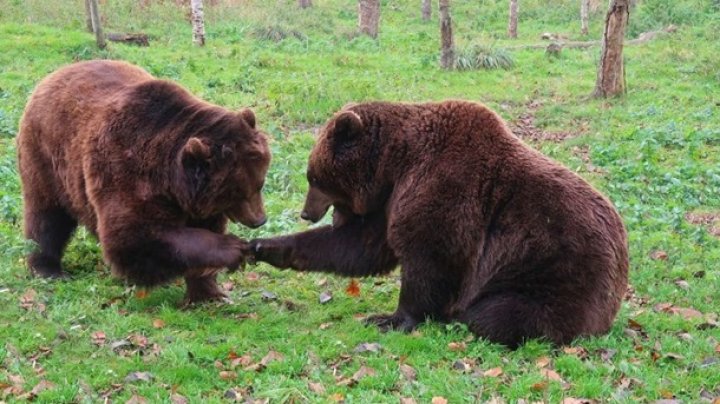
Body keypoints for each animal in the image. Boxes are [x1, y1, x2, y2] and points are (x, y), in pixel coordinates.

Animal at [16, 58, 270, 302]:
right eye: (238, 192)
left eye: (260, 184)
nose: (260, 220)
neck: (171, 181)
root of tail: (54, 75)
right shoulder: (127, 171)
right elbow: (135, 237)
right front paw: (232, 248)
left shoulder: (196, 202)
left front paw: (209, 293)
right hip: (47, 158)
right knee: (47, 216)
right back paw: (48, 268)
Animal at [253, 100, 632, 348]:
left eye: (313, 177)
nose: (306, 213)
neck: (395, 163)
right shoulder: (391, 201)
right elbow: (360, 246)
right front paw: (265, 246)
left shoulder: (444, 189)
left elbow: (430, 258)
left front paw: (390, 318)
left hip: (554, 275)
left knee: (500, 315)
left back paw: (465, 317)